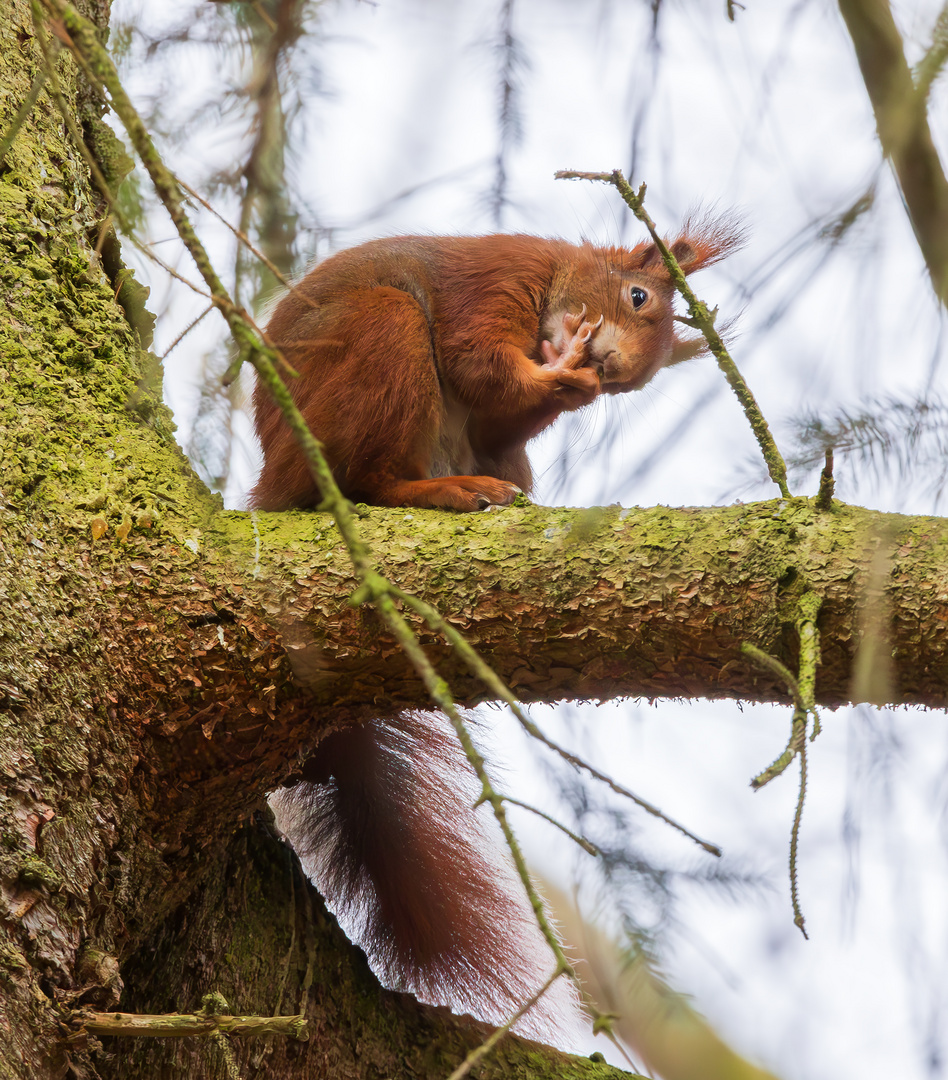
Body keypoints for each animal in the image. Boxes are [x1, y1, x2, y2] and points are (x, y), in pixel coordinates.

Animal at [261, 225, 742, 1028]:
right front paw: (558, 365)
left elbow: (497, 408)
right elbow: (475, 359)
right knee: (368, 481)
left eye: (635, 388)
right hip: (374, 343)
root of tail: (271, 484)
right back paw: (445, 491)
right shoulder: (497, 277)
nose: (611, 368)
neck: (560, 274)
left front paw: (569, 381)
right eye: (639, 296)